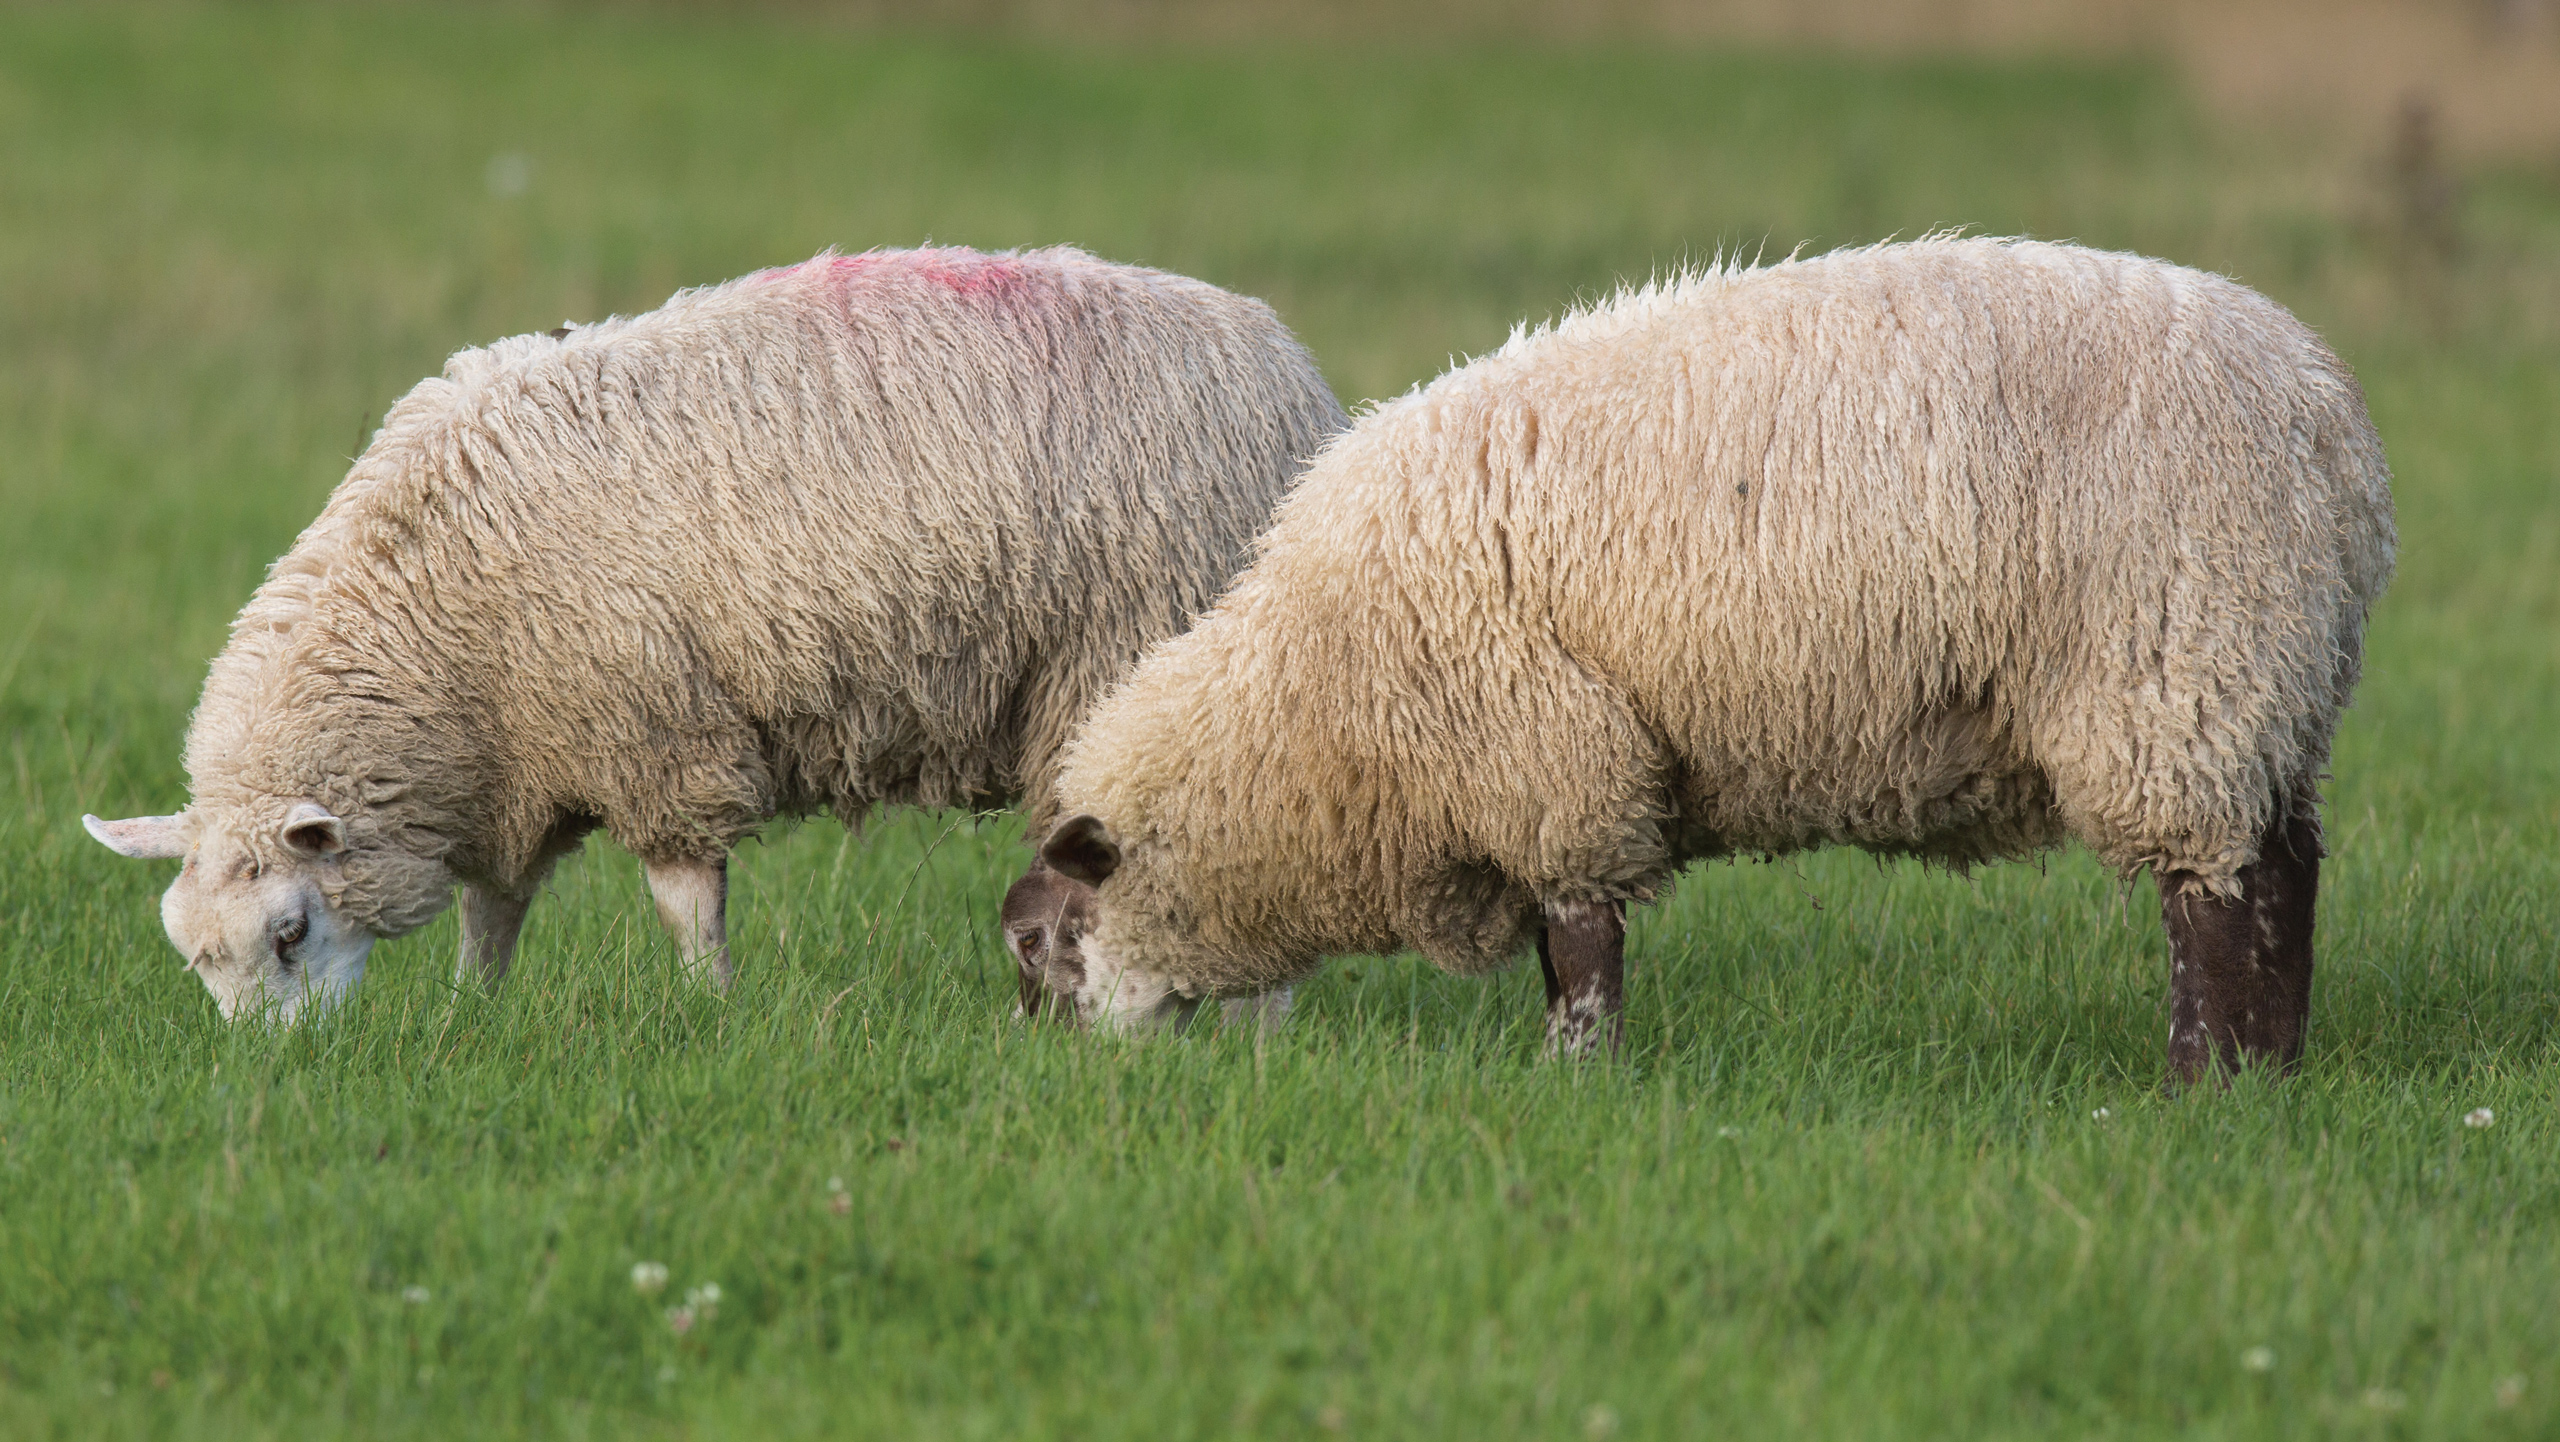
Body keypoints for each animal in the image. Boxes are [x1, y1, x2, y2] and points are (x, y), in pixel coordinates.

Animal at [84, 245, 1347, 1022]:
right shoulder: (514, 762)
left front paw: (710, 1013)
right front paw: (467, 1012)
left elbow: (685, 901)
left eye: (291, 930)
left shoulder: (651, 727)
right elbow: (495, 911)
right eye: (194, 953)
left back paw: (1261, 1033)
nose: (275, 1072)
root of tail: (1293, 372)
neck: (431, 625)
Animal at [1010, 236, 2396, 1083]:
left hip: (2179, 670)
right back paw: (2266, 1078)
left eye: (1040, 943)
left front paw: (1577, 1075)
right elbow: (1559, 943)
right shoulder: (1532, 776)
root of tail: (2335, 426)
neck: (1311, 711)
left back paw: (2194, 1082)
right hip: (2263, 688)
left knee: (2213, 901)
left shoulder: (1547, 755)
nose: (1038, 1073)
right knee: (2284, 878)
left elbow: (1580, 949)